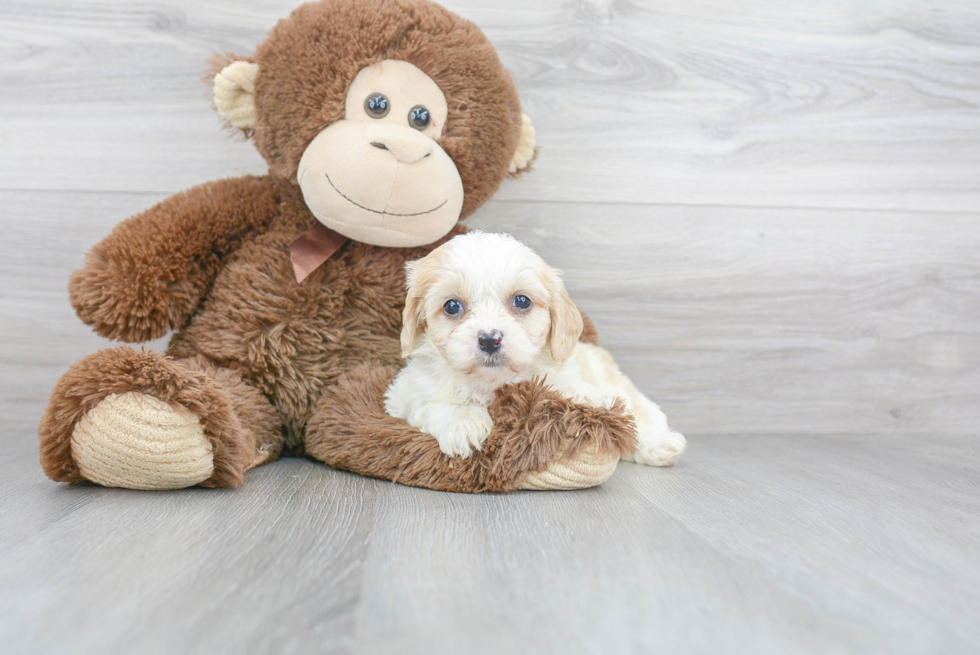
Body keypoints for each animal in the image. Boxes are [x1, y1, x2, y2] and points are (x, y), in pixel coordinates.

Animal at [380, 231, 680, 466]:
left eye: (522, 301)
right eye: (452, 306)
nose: (490, 339)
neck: (492, 383)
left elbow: (562, 382)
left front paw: (581, 393)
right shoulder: (404, 393)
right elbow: (430, 401)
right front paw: (461, 421)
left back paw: (661, 444)